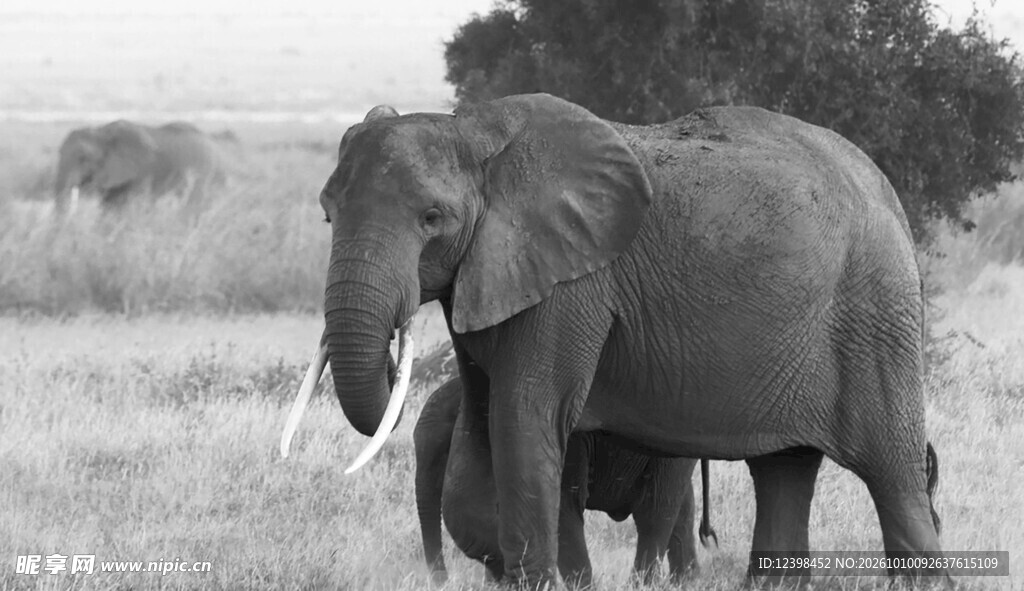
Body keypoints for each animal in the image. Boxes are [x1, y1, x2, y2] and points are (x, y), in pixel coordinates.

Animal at [53, 120, 227, 215]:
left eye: (83, 158)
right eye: (59, 152)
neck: (102, 131)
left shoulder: (142, 171)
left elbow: (134, 205)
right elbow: (108, 206)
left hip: (203, 170)